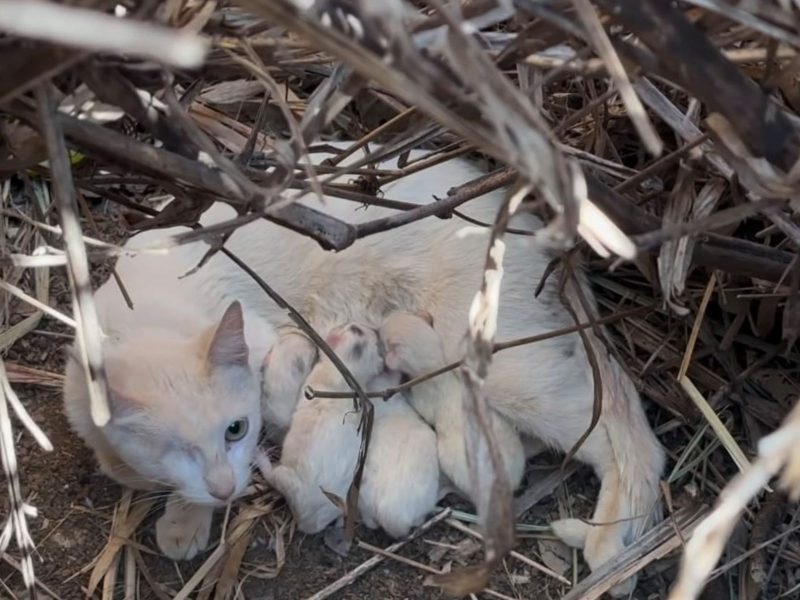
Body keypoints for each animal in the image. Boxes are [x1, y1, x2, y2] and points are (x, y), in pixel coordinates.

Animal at [63, 302, 262, 560]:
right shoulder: (79, 402)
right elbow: (115, 465)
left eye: (236, 430)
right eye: (176, 450)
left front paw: (185, 522)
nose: (225, 490)